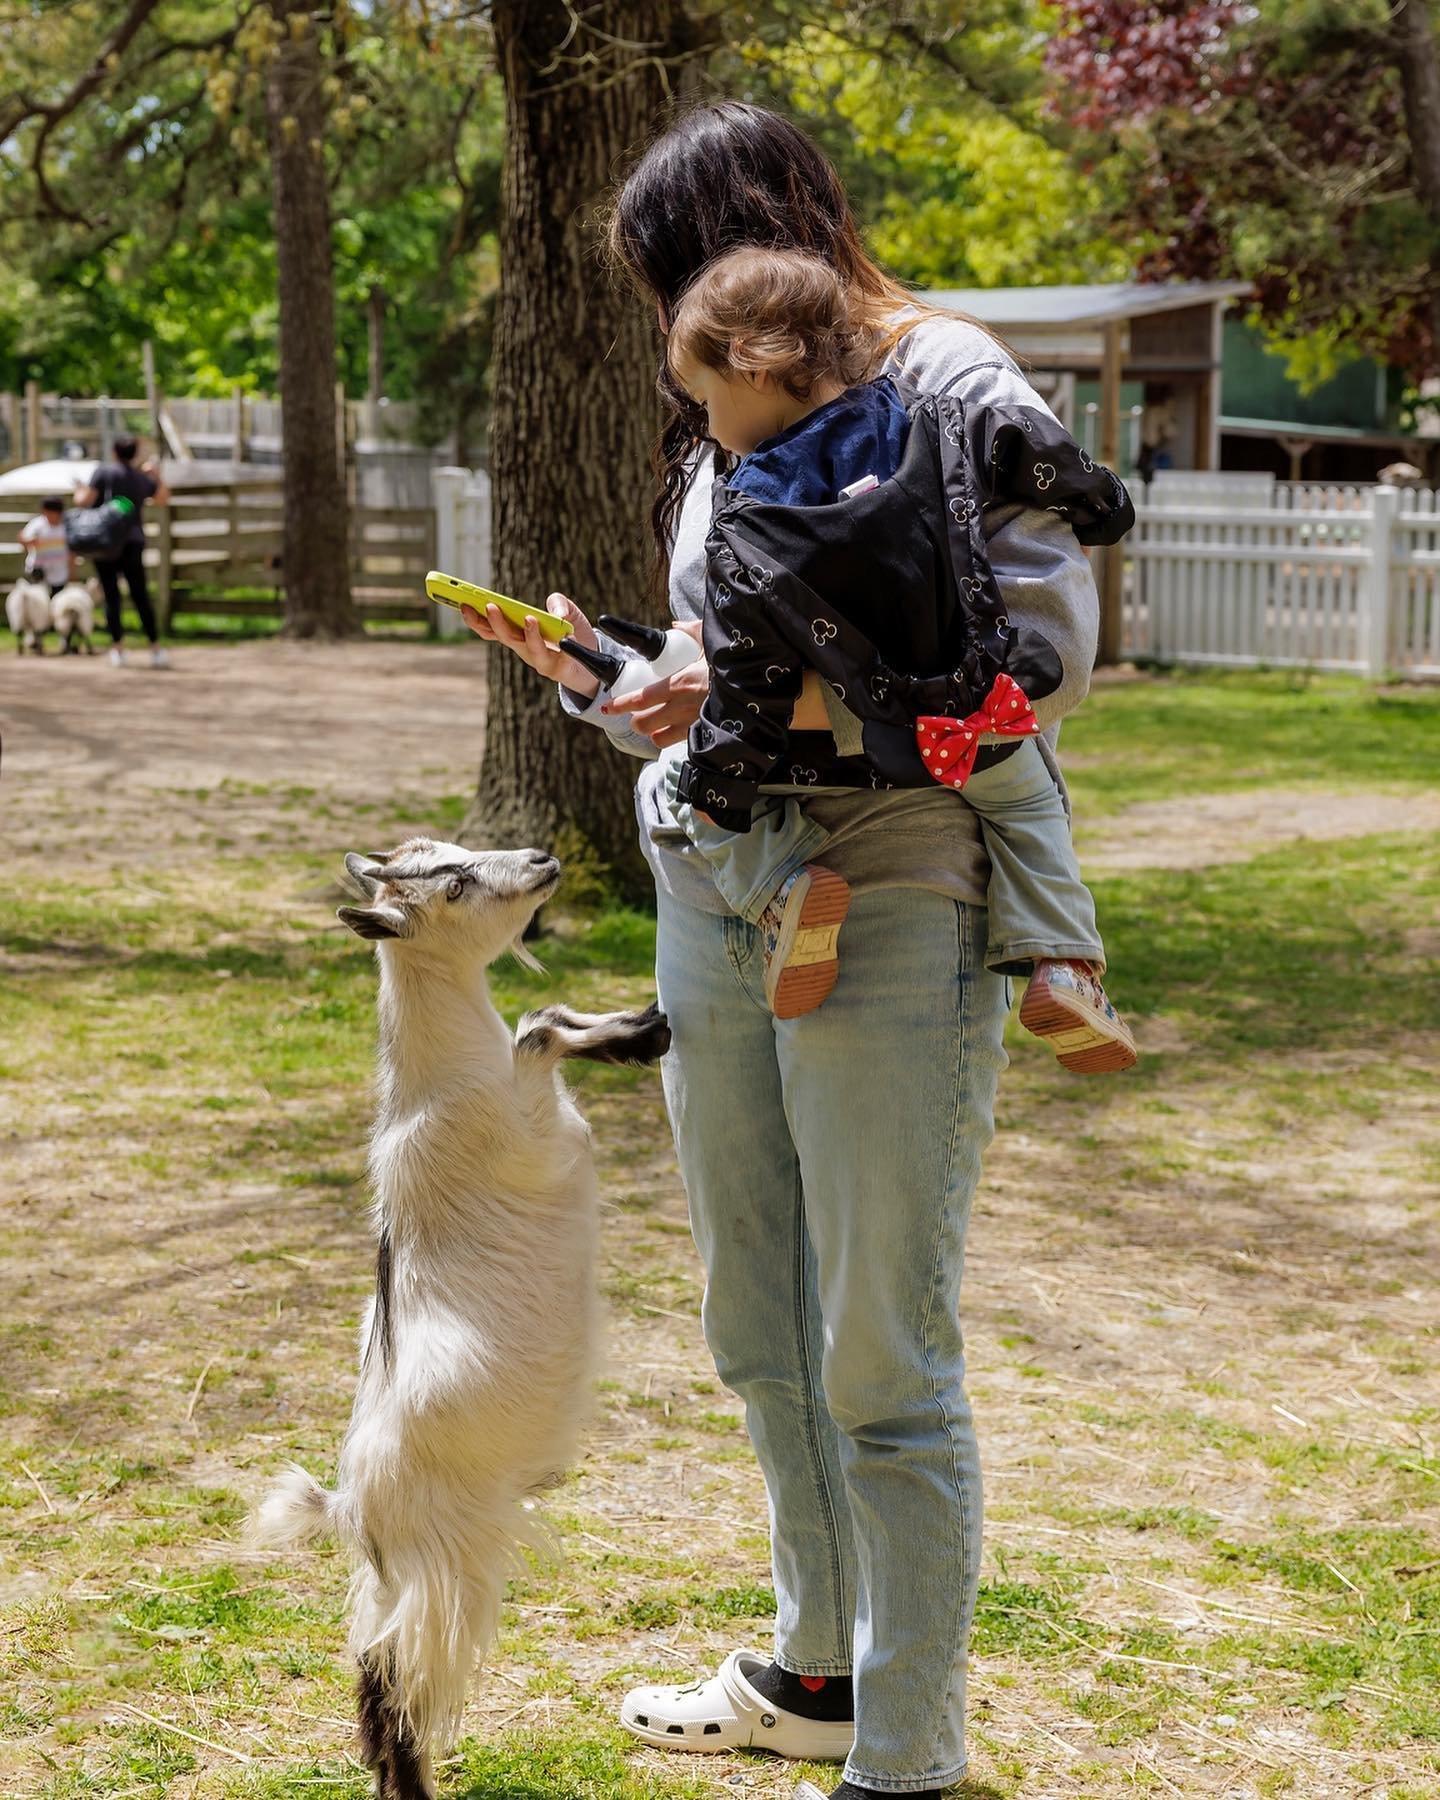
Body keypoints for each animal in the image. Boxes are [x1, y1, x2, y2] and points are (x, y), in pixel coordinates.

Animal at [253, 842, 669, 1800]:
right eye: (452, 884)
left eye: (454, 851)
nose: (543, 857)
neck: (443, 1083)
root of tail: (348, 1505)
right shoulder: (540, 1138)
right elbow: (539, 1032)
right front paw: (639, 1035)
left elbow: (543, 1016)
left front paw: (637, 1030)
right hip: (449, 1565)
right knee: (406, 1684)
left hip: (392, 1579)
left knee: (370, 1670)